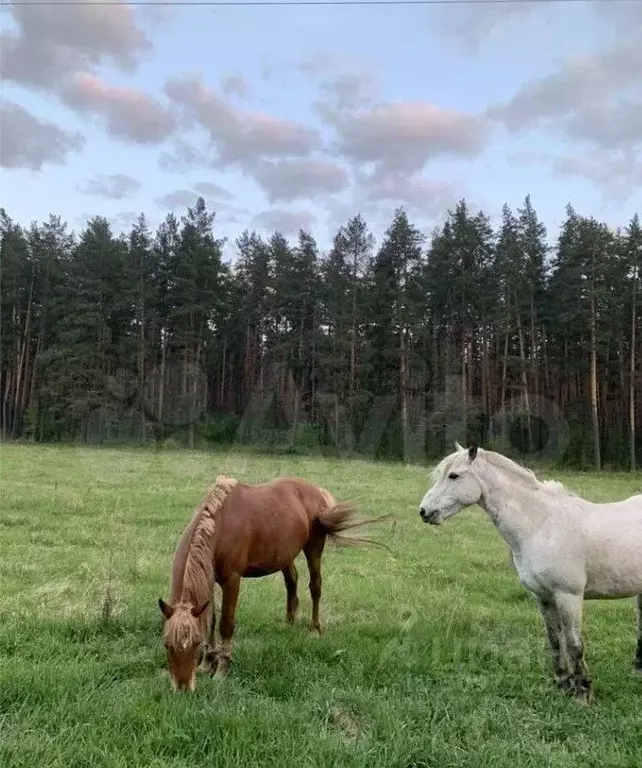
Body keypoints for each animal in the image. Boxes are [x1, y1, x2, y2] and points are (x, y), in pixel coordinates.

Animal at [159, 474, 390, 688]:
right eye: (166, 644)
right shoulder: (210, 579)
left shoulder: (232, 580)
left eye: (195, 643)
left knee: (315, 586)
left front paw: (222, 670)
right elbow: (210, 621)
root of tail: (316, 491)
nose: (182, 687)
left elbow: (226, 624)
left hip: (314, 547)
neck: (220, 525)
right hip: (286, 555)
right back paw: (289, 622)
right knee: (292, 581)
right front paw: (207, 664)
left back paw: (315, 630)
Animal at [416, 444, 640, 704]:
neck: (541, 525)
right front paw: (563, 685)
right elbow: (555, 641)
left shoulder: (569, 596)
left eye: (454, 476)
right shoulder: (542, 597)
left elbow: (574, 644)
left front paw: (583, 694)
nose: (424, 511)